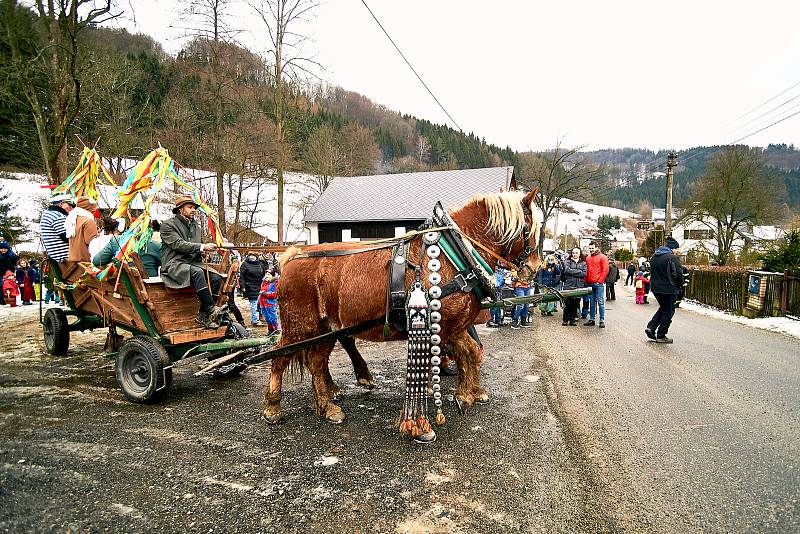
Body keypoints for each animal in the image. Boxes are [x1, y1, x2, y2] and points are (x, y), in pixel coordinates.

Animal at [266, 191, 540, 430]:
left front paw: (467, 395)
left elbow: (471, 353)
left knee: (317, 362)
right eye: (529, 229)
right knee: (280, 358)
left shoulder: (454, 326)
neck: (456, 253)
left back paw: (327, 405)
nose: (534, 267)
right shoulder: (442, 327)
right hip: (300, 326)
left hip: (327, 328)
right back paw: (273, 407)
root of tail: (293, 256)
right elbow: (444, 359)